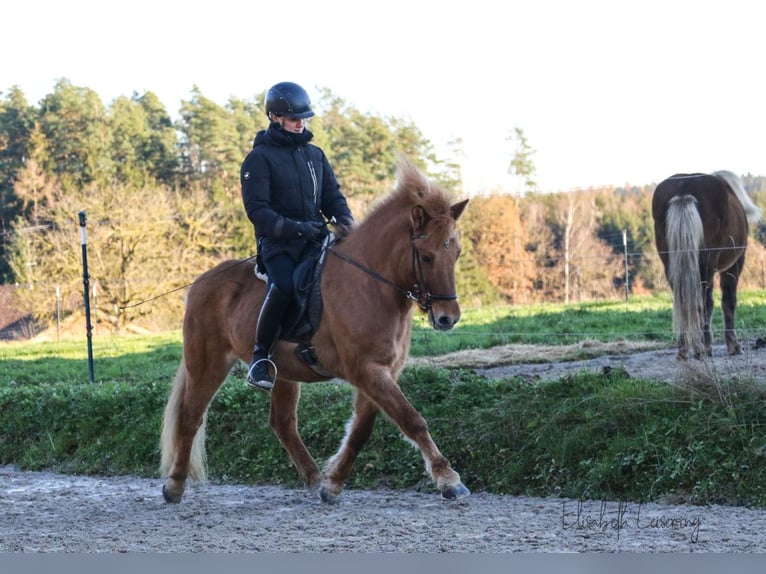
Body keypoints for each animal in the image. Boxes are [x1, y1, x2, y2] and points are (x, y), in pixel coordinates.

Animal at [161, 158, 472, 504]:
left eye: (456, 253)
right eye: (427, 256)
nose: (447, 318)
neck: (372, 285)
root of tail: (200, 283)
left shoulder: (380, 372)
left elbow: (361, 430)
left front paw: (333, 483)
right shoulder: (367, 370)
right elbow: (411, 419)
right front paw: (448, 479)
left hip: (281, 372)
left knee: (282, 423)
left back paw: (313, 479)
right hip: (208, 365)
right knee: (190, 417)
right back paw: (174, 485)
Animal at [656, 171, 760, 360]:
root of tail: (684, 189)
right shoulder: (734, 266)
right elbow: (728, 302)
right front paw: (733, 345)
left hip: (673, 266)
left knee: (682, 301)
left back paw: (684, 348)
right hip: (707, 267)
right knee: (705, 302)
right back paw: (703, 347)